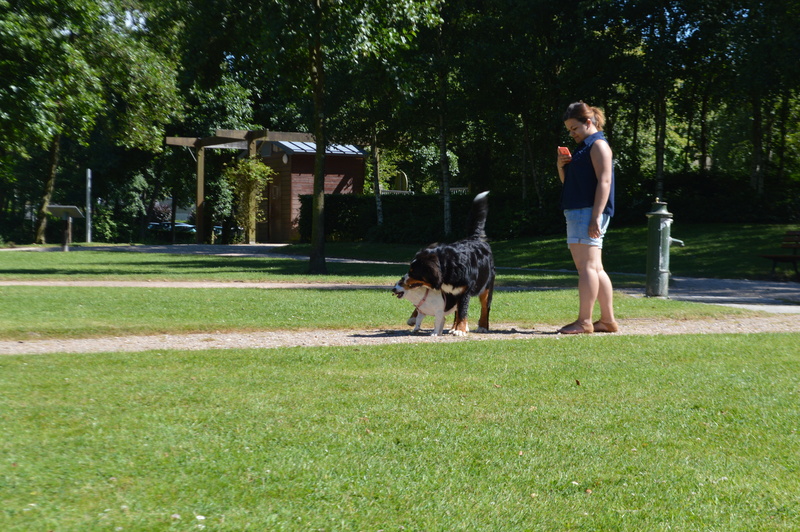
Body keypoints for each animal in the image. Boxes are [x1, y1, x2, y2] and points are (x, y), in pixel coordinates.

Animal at [392, 191, 494, 336]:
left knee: (485, 307)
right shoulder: (446, 293)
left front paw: (461, 329)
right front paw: (413, 317)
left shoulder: (465, 291)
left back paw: (482, 326)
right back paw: (453, 327)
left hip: (486, 287)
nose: (402, 278)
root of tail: (474, 238)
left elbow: (462, 311)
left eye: (413, 272)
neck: (449, 267)